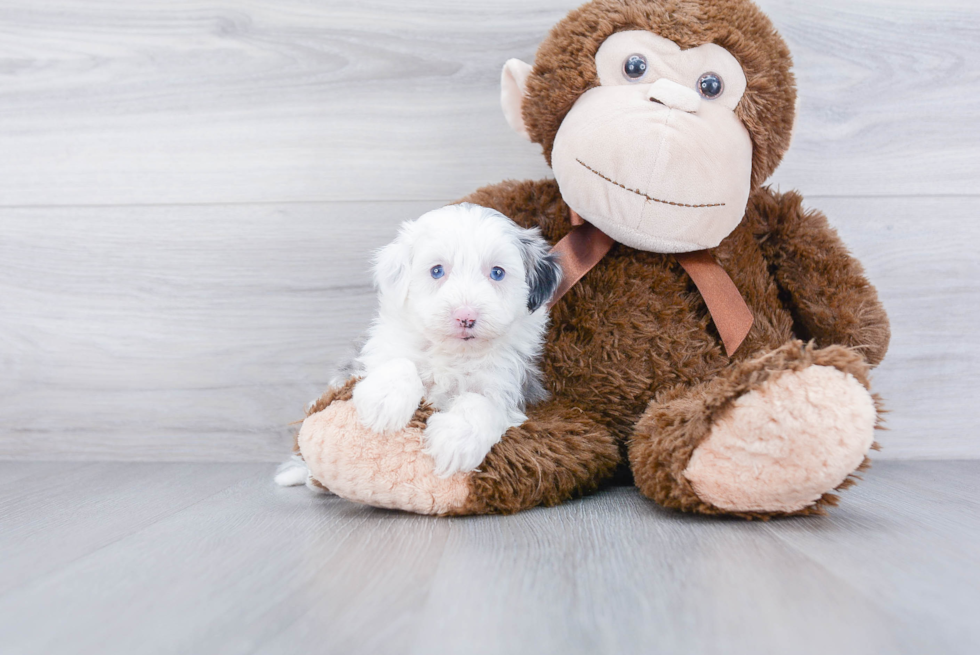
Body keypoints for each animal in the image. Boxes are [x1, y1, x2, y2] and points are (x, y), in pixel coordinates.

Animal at [352, 205, 560, 476]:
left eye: (497, 273)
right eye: (437, 271)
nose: (466, 316)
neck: (454, 354)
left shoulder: (506, 384)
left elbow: (479, 402)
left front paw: (456, 440)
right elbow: (400, 363)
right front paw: (384, 400)